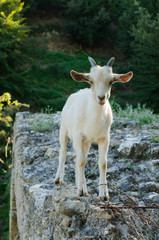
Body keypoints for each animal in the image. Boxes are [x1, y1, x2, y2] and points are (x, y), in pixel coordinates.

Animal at [54, 56, 133, 199]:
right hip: (64, 129)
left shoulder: (104, 137)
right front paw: (82, 190)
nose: (101, 97)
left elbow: (102, 163)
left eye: (111, 82)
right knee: (63, 152)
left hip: (87, 142)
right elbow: (81, 161)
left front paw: (104, 194)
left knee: (79, 157)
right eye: (91, 81)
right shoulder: (78, 135)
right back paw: (59, 179)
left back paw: (77, 182)